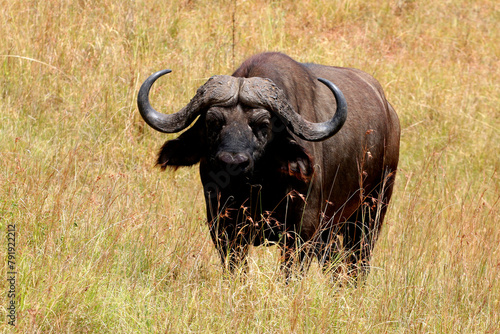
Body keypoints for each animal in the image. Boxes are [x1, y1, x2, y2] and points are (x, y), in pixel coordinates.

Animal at [138, 52, 402, 280]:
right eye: (213, 123)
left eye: (263, 125)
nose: (232, 162)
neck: (259, 187)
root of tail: (390, 114)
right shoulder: (223, 227)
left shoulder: (302, 232)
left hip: (371, 212)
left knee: (359, 262)